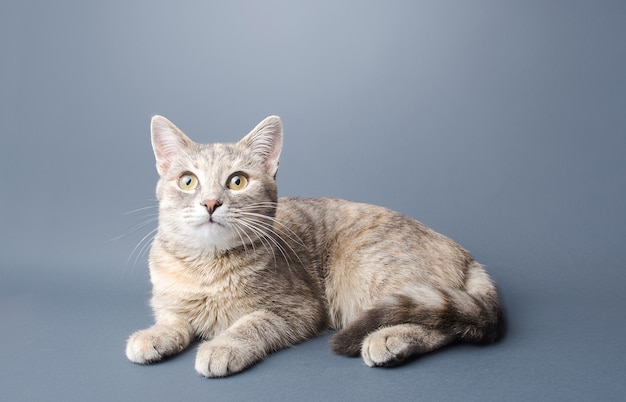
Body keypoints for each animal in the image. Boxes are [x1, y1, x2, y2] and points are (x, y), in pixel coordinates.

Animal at [125, 115, 502, 376]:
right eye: (188, 181)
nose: (210, 203)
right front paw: (154, 335)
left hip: (367, 270)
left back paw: (390, 339)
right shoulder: (169, 301)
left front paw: (223, 346)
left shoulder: (299, 309)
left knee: (447, 327)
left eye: (237, 181)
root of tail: (464, 253)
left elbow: (251, 323)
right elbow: (173, 319)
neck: (206, 267)